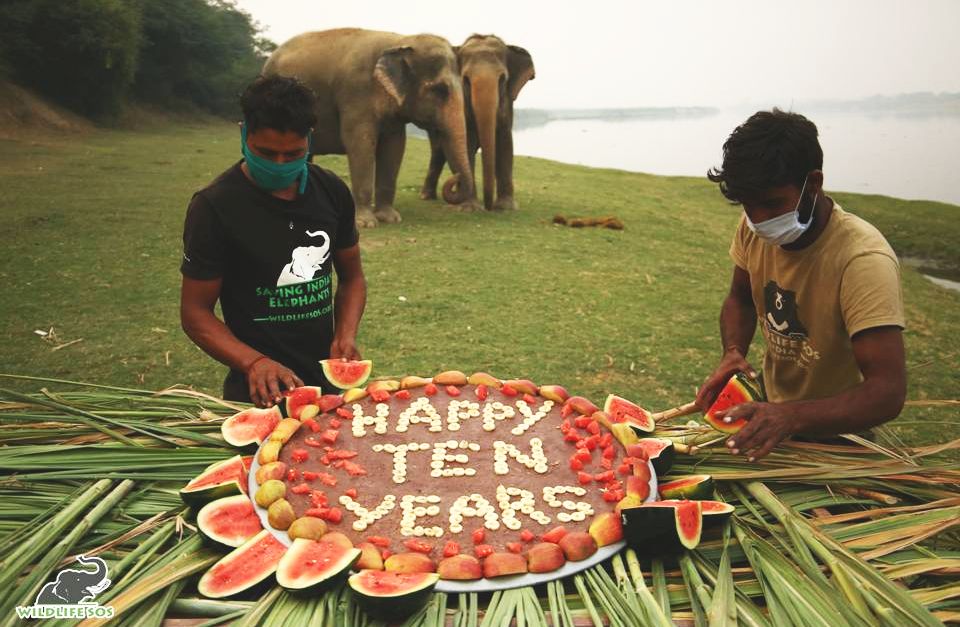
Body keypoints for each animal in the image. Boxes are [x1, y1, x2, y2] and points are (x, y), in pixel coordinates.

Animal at [262, 28, 480, 228]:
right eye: (439, 90)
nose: (455, 178)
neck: (400, 41)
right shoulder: (356, 93)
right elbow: (360, 144)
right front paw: (366, 223)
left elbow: (394, 147)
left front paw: (390, 218)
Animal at [422, 36, 536, 213]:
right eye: (465, 80)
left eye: (502, 79)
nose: (489, 208)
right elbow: (466, 142)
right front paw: (470, 208)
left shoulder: (507, 104)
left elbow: (505, 142)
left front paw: (505, 207)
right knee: (439, 151)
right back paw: (427, 197)